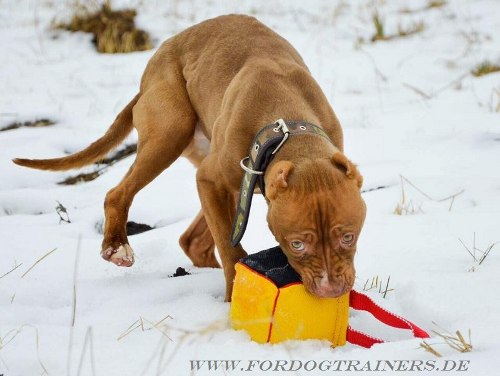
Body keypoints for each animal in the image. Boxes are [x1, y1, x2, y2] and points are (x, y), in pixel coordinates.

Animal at [13, 14, 366, 302]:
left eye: (348, 236)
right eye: (296, 244)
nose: (331, 290)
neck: (288, 128)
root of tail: (149, 72)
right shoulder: (210, 180)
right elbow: (230, 246)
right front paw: (232, 296)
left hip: (228, 180)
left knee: (191, 240)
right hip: (172, 130)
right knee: (118, 193)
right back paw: (116, 246)